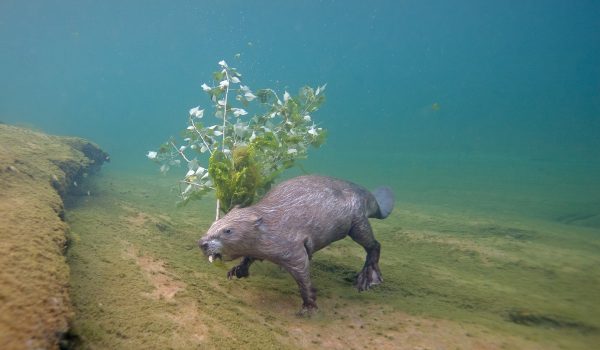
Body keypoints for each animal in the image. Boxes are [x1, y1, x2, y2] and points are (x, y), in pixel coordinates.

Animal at [198, 175, 394, 314]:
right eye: (214, 223)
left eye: (228, 230)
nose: (202, 243)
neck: (271, 222)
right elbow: (250, 257)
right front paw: (236, 271)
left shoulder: (291, 247)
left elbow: (302, 273)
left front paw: (309, 307)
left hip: (357, 222)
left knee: (374, 244)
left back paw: (368, 279)